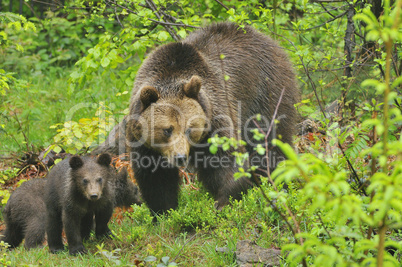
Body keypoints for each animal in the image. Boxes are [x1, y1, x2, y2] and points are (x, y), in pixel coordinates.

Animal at [127, 22, 300, 218]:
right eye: (167, 129)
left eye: (189, 129)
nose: (180, 157)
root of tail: (269, 40)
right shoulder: (142, 140)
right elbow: (155, 176)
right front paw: (164, 212)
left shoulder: (216, 116)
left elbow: (225, 159)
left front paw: (224, 201)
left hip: (266, 90)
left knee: (269, 141)